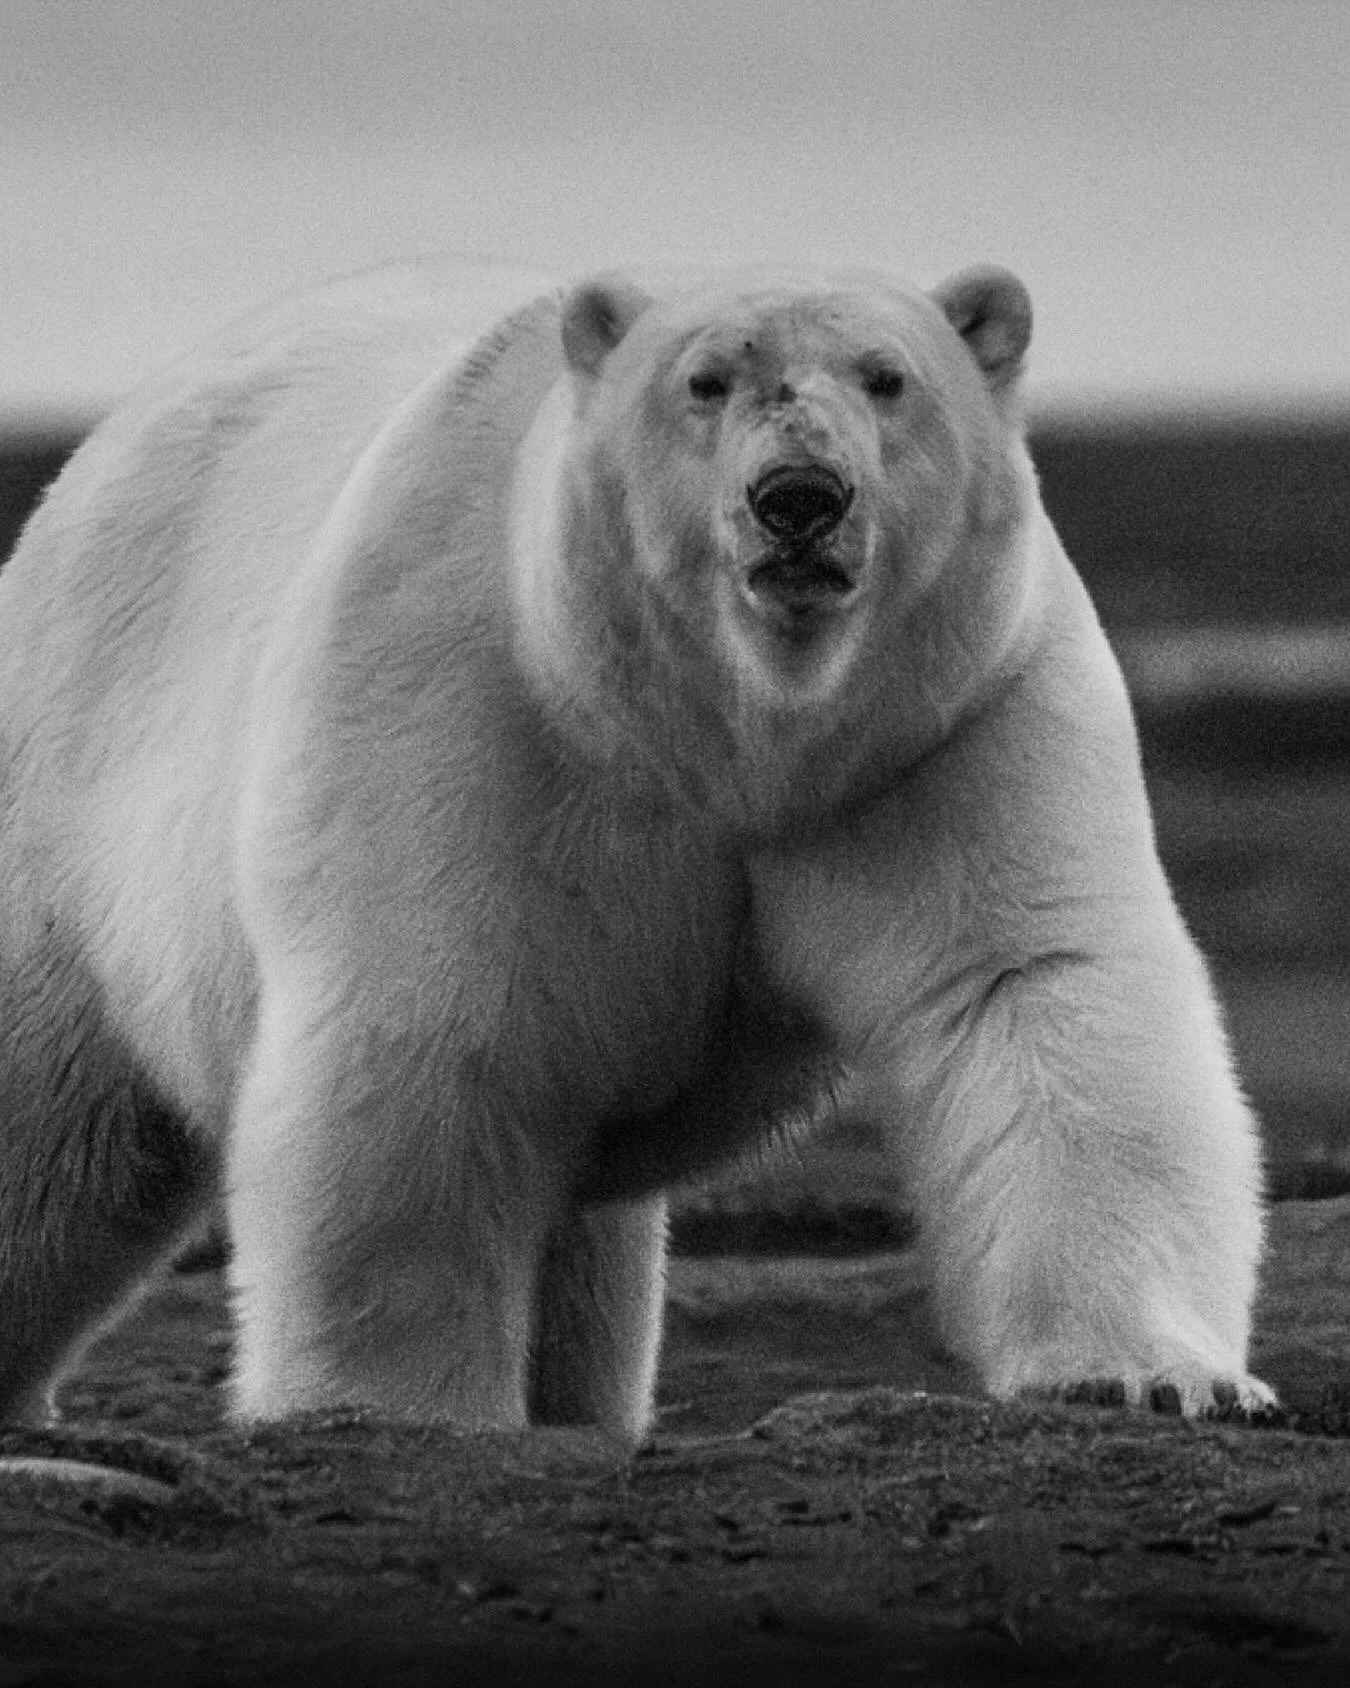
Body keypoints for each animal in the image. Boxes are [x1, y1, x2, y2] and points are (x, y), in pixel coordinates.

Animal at [0, 254, 1274, 1439]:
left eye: (888, 377)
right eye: (705, 381)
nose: (799, 496)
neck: (727, 732)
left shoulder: (947, 722)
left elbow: (1033, 990)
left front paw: (1154, 1373)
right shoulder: (474, 705)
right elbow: (429, 1033)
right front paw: (392, 1401)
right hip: (72, 795)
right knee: (51, 1120)